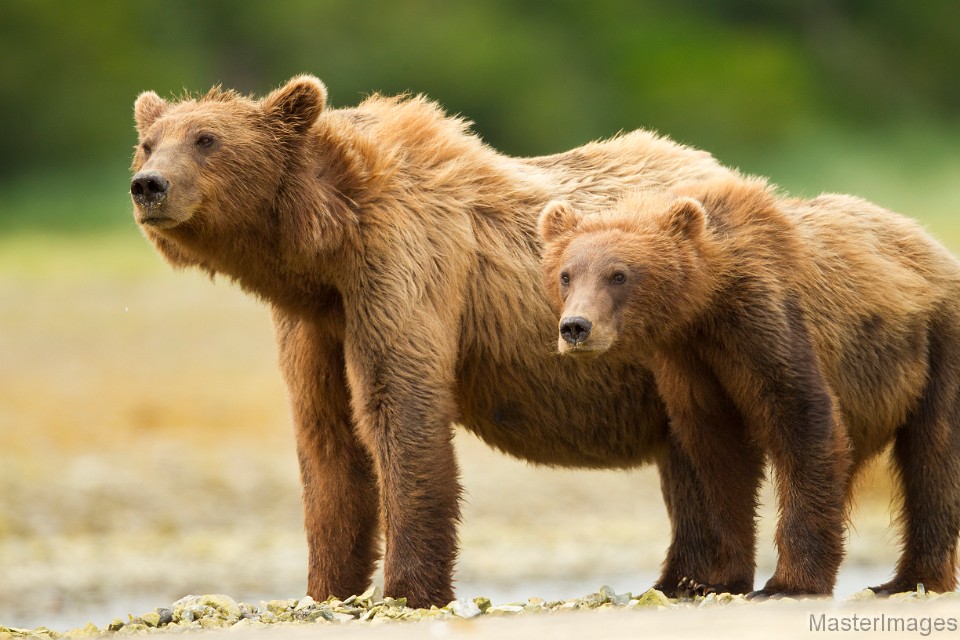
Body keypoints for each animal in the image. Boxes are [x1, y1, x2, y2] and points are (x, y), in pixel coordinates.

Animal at [129, 74, 736, 604]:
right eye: (148, 143)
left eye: (207, 139)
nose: (148, 185)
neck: (330, 238)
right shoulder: (314, 320)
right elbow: (325, 434)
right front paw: (325, 587)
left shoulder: (404, 263)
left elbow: (399, 409)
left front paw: (408, 590)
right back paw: (686, 578)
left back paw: (692, 579)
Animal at [540, 178, 960, 596]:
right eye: (566, 274)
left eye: (619, 274)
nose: (576, 327)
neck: (706, 303)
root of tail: (935, 245)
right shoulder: (688, 364)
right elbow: (721, 459)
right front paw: (718, 579)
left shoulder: (764, 325)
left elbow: (804, 424)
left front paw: (789, 582)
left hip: (936, 346)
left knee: (934, 455)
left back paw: (910, 579)